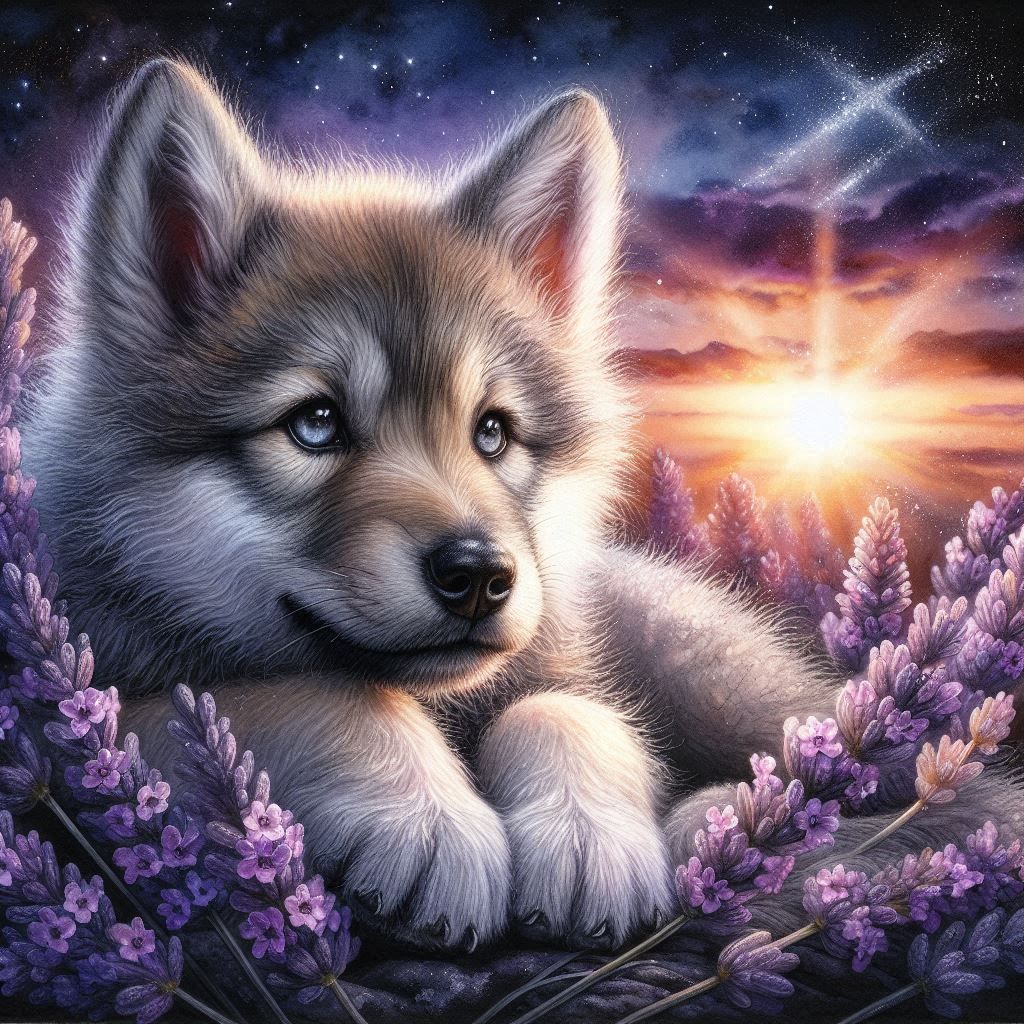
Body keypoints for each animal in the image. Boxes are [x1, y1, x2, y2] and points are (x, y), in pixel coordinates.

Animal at [22, 59, 1022, 956]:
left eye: (493, 433)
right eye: (314, 424)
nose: (480, 575)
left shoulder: (562, 669)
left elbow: (565, 711)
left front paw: (589, 837)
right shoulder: (83, 722)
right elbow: (309, 690)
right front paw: (429, 819)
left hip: (719, 677)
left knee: (925, 787)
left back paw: (734, 821)